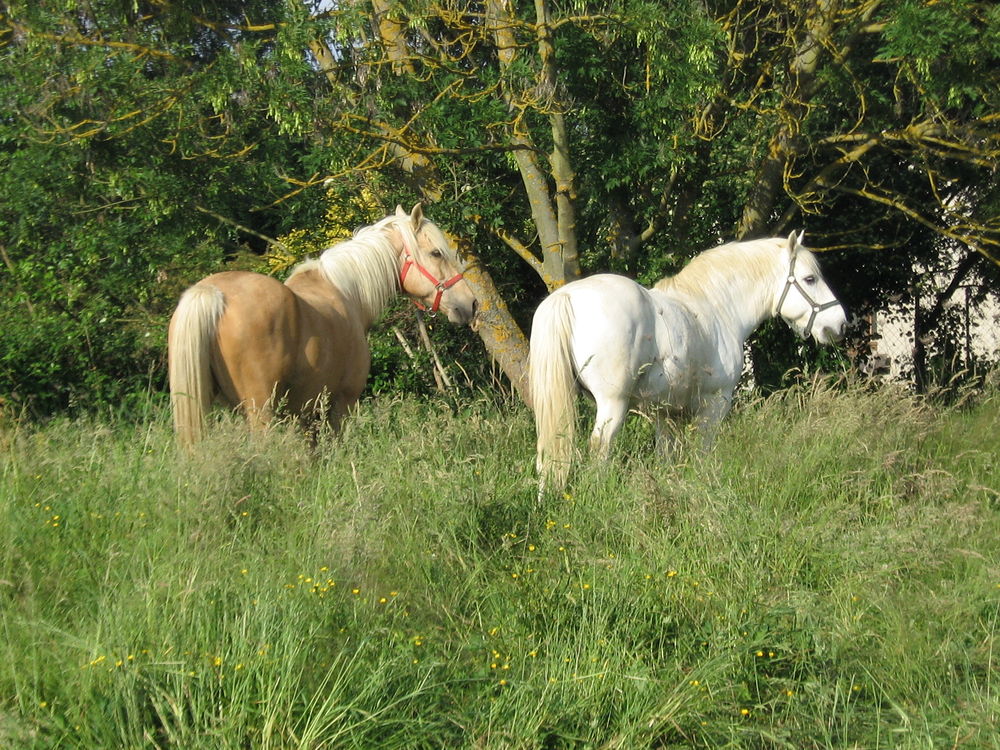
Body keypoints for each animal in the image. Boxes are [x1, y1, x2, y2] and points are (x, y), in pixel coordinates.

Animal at [168, 204, 477, 446]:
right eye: (436, 253)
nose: (471, 303)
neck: (346, 292)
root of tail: (214, 293)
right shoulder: (340, 405)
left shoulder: (305, 413)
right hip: (260, 412)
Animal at [529, 231, 847, 490]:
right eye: (810, 279)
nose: (839, 324)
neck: (717, 308)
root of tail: (568, 296)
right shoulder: (715, 403)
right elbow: (703, 452)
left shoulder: (665, 413)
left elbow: (667, 456)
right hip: (612, 403)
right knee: (600, 449)